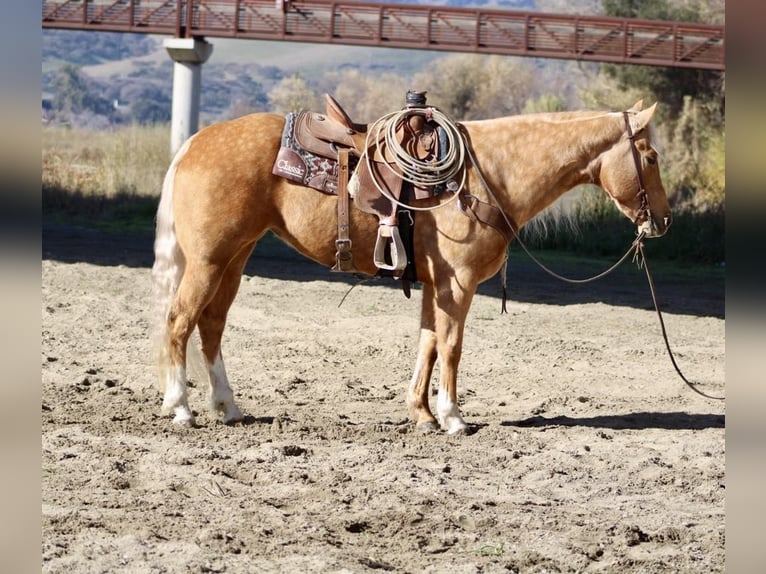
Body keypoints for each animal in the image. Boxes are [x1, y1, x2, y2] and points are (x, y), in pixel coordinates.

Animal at [151, 99, 671, 434]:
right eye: (650, 156)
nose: (663, 220)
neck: (489, 175)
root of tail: (195, 142)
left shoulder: (433, 285)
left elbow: (428, 343)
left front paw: (421, 413)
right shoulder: (458, 284)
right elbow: (452, 346)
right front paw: (453, 417)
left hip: (234, 259)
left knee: (211, 325)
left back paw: (227, 406)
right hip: (209, 261)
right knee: (179, 321)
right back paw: (180, 408)